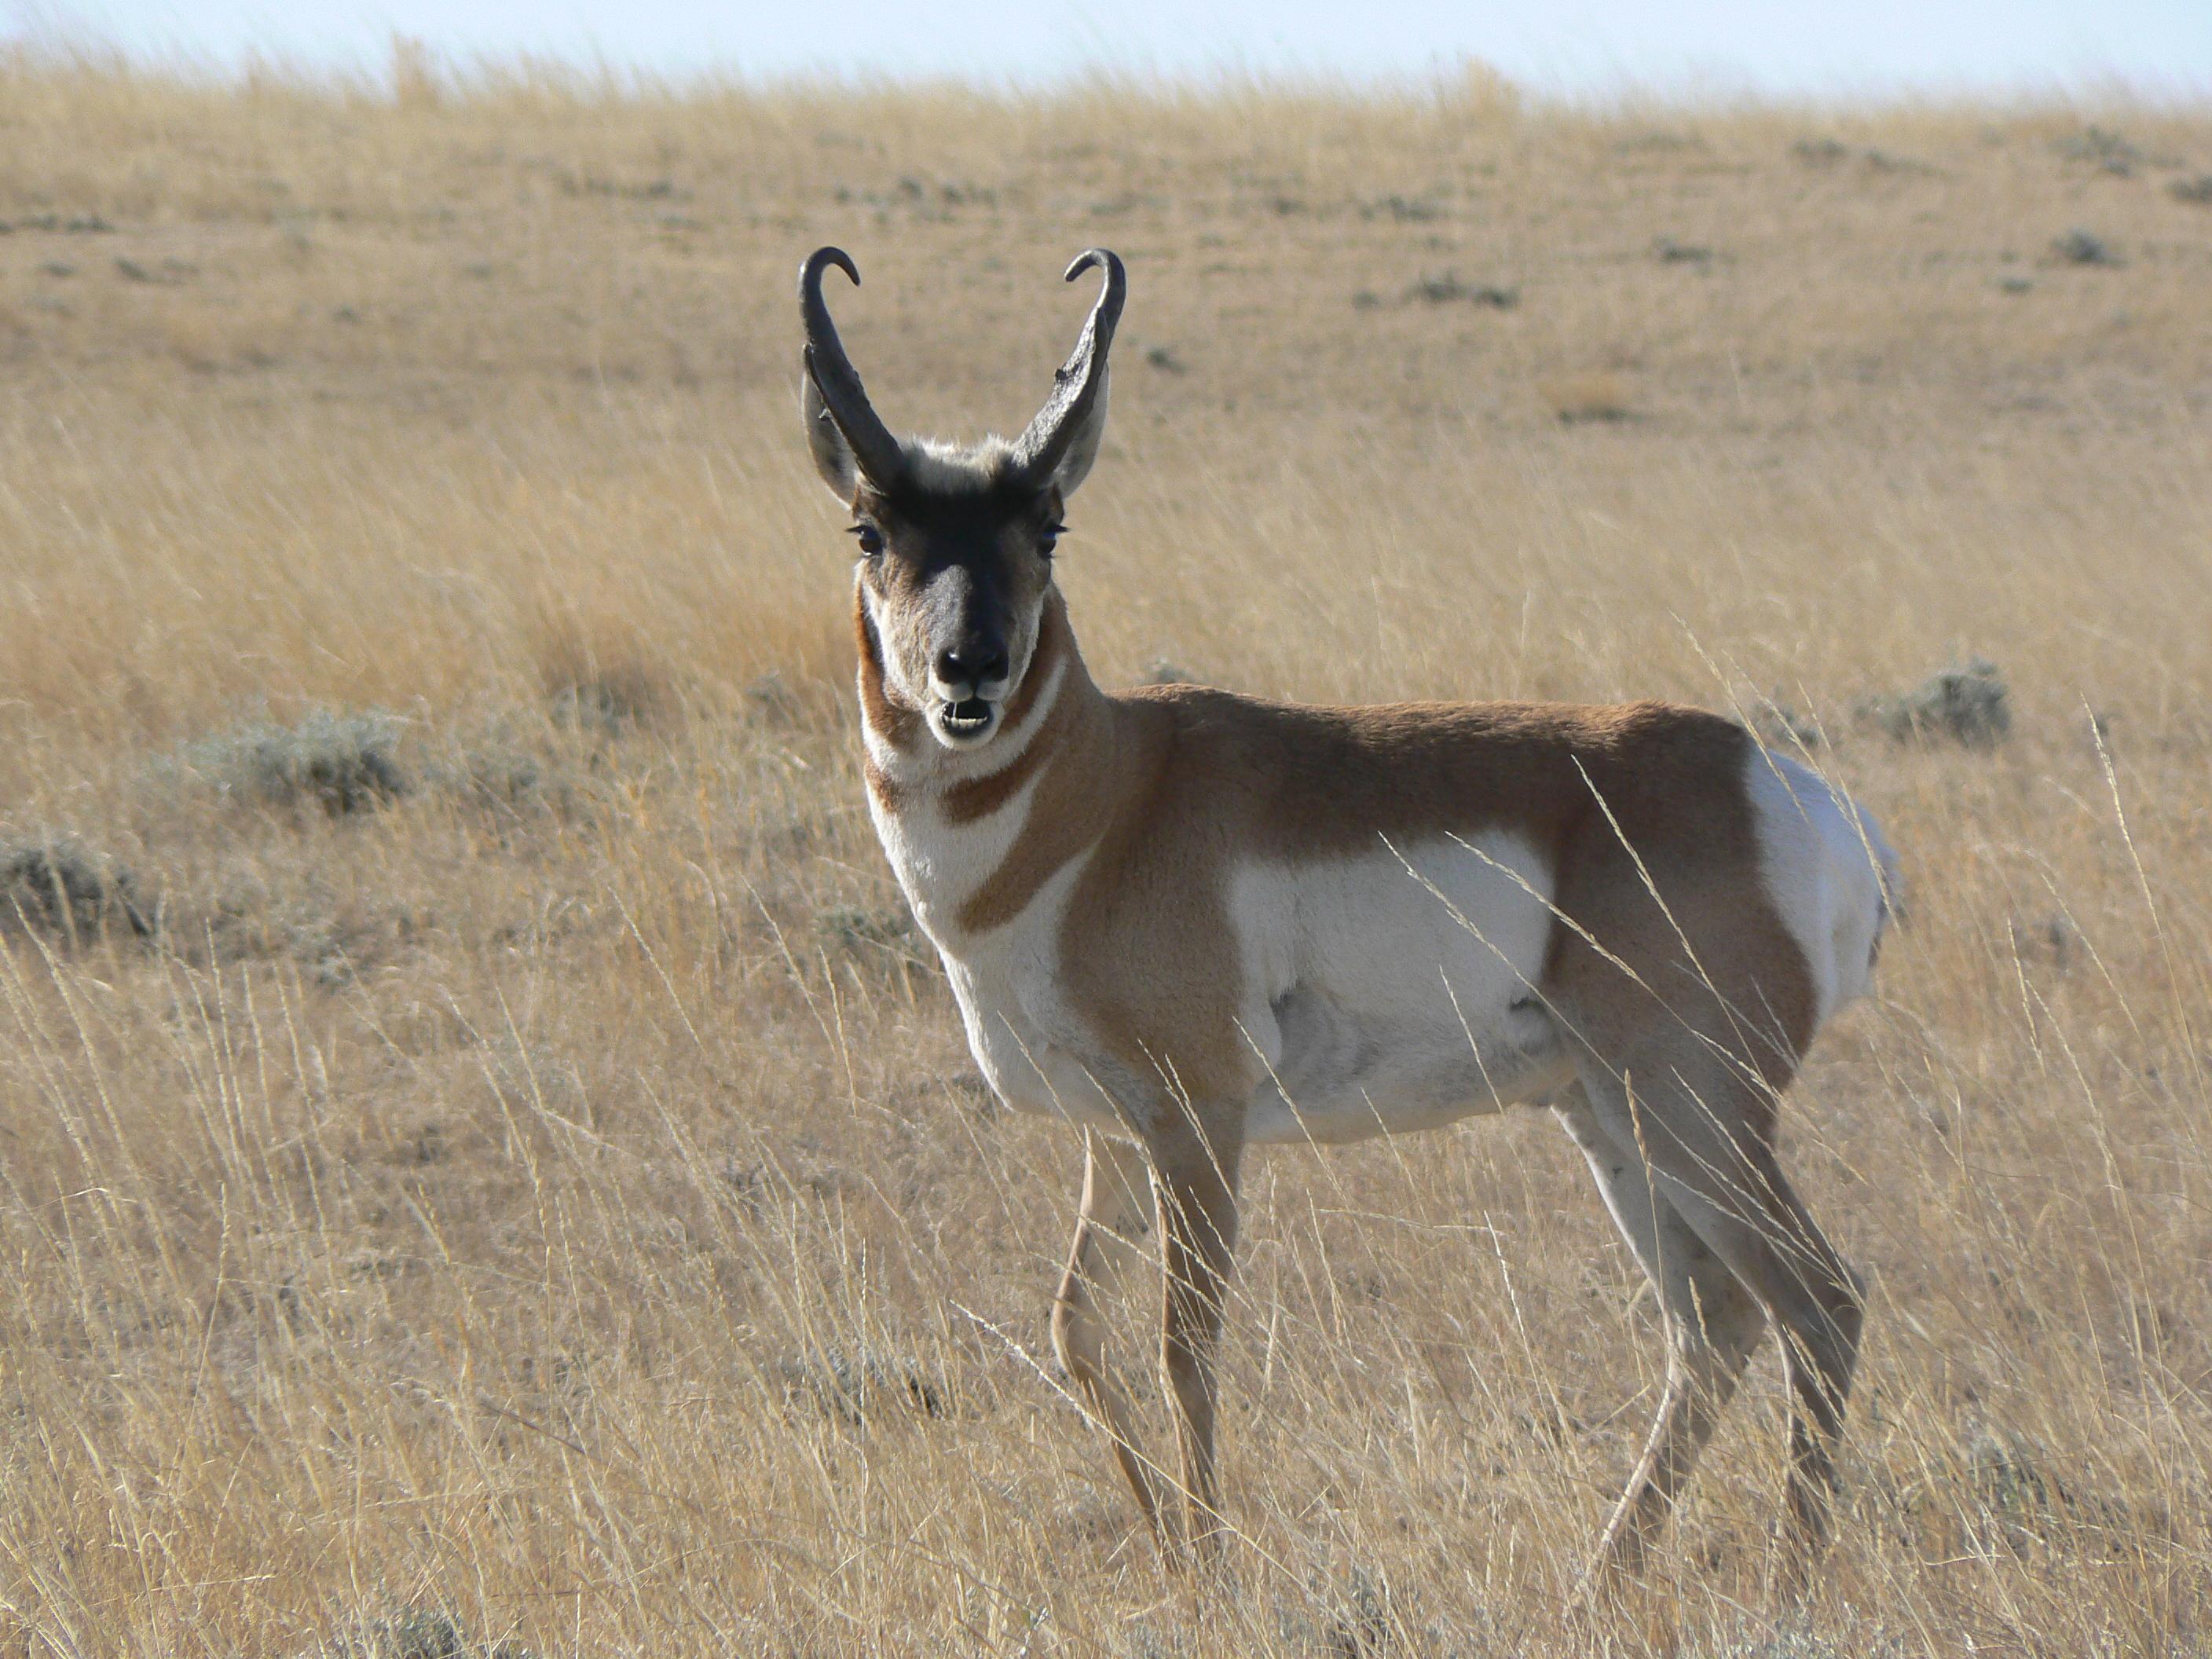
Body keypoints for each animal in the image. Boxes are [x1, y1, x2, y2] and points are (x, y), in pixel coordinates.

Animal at [797, 245, 1900, 1575]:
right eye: (871, 526)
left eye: (1047, 522)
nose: (972, 672)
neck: (1112, 796)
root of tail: (1778, 786)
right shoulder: (1114, 1138)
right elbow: (1075, 1328)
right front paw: (1169, 1548)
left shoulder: (1201, 1124)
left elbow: (1185, 1345)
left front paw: (1214, 1569)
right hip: (1614, 1118)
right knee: (1718, 1322)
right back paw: (1600, 1583)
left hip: (1693, 1112)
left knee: (1819, 1301)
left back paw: (1784, 1586)